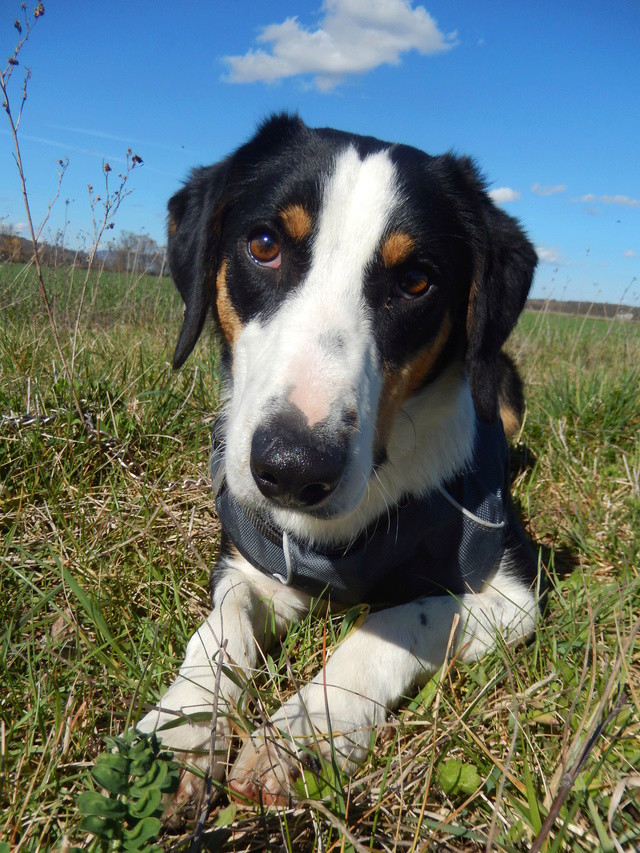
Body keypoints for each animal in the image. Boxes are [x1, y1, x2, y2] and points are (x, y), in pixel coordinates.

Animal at [138, 115, 544, 812]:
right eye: (265, 244)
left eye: (416, 281)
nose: (293, 468)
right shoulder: (252, 562)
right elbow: (221, 630)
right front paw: (182, 729)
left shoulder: (512, 595)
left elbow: (395, 621)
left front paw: (300, 737)